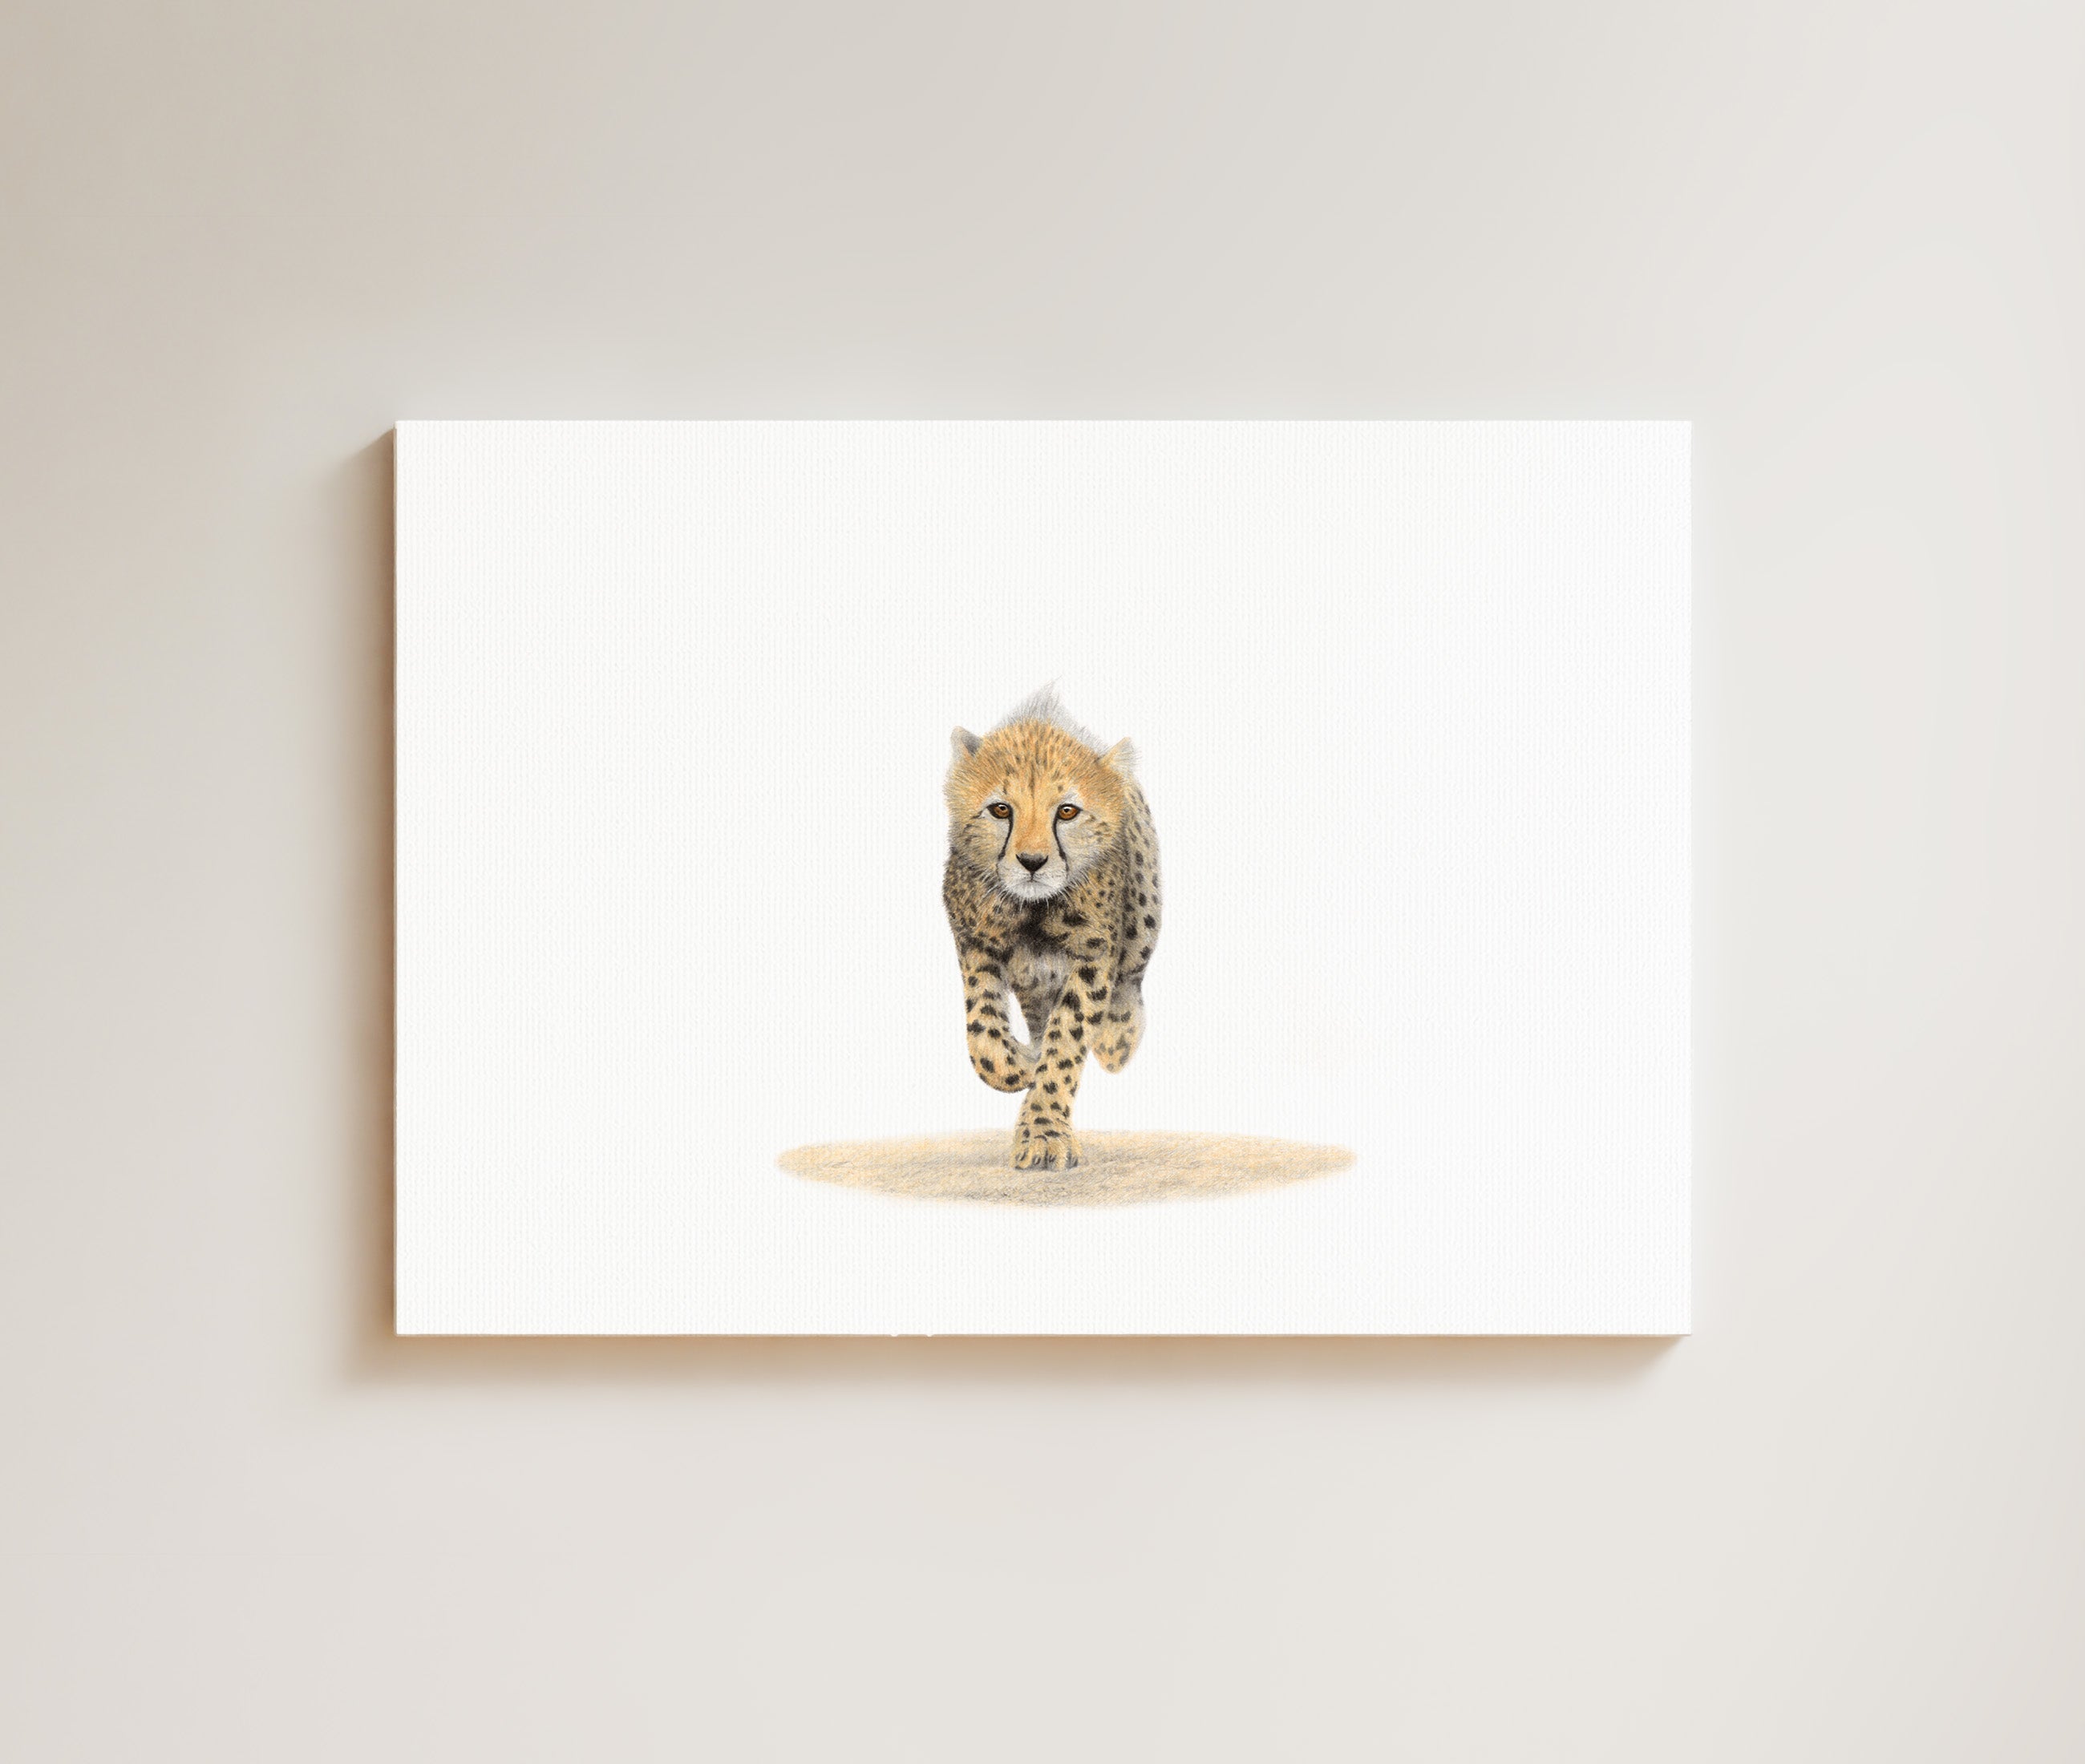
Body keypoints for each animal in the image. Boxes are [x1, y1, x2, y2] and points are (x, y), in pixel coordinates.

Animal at [942, 687, 1162, 1170]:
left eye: (1067, 811)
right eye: (1000, 809)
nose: (1032, 862)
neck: (1033, 909)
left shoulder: (1093, 955)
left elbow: (1068, 1039)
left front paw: (1043, 1134)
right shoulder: (974, 941)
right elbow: (984, 1037)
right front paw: (1021, 1066)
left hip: (1144, 915)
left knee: (1132, 976)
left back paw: (1119, 1038)